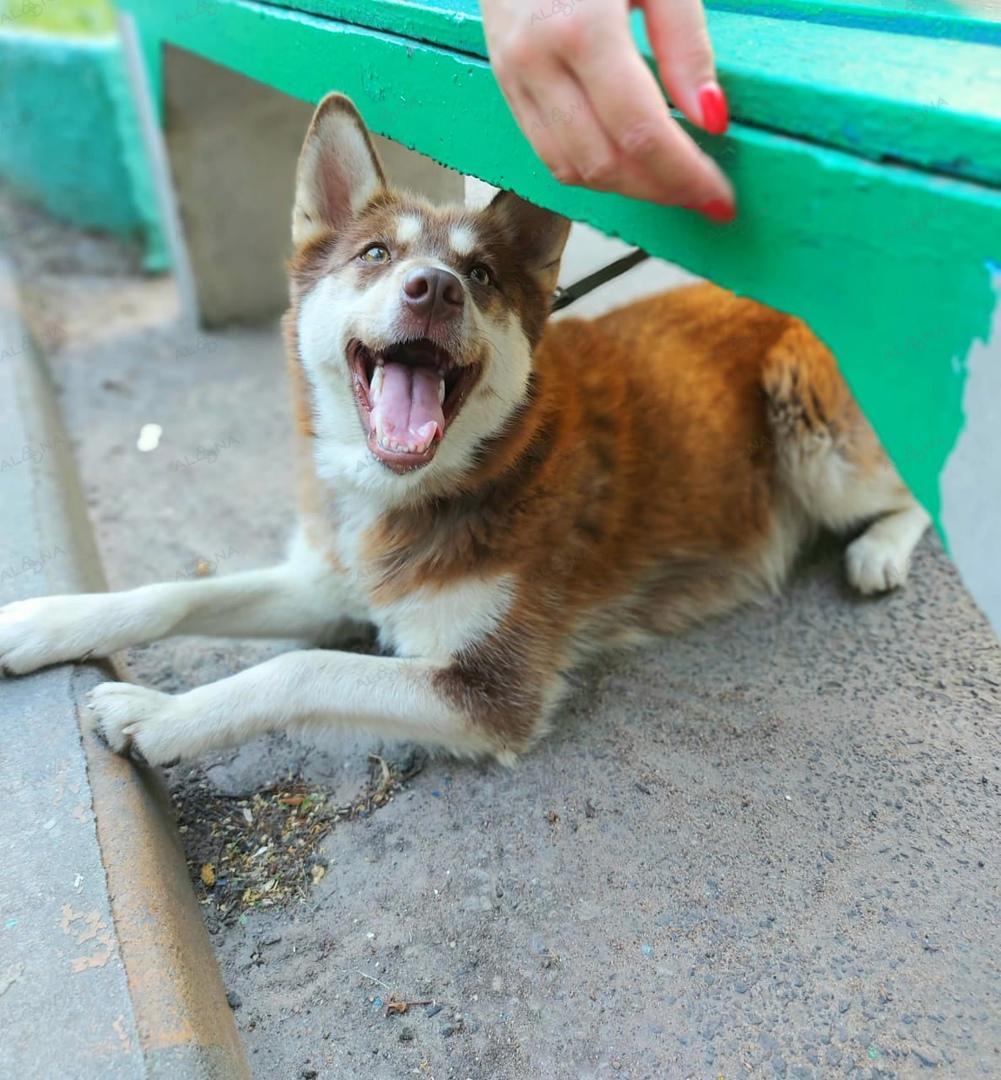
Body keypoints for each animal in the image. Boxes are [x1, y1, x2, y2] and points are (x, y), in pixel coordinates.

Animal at [0, 95, 932, 768]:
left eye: (480, 275)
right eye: (375, 254)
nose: (434, 289)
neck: (435, 481)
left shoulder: (490, 689)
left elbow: (299, 667)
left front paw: (157, 714)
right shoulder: (335, 579)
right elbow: (176, 594)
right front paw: (43, 622)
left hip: (808, 428)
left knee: (906, 490)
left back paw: (879, 549)